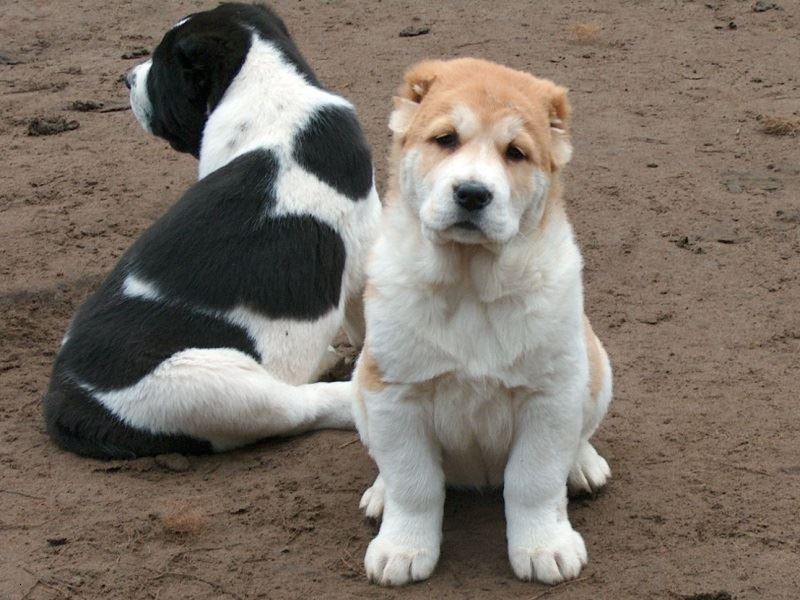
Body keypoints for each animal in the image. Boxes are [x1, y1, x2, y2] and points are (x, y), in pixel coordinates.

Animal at [43, 3, 381, 458]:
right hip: (208, 384)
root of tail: (68, 399)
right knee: (295, 407)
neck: (268, 91)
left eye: (162, 67)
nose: (127, 77)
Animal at [352, 58, 613, 586]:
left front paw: (544, 546)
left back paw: (582, 465)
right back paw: (380, 492)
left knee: (577, 437)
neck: (469, 284)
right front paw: (402, 547)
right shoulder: (392, 392)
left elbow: (534, 481)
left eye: (516, 153)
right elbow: (413, 481)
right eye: (446, 139)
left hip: (596, 367)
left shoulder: (550, 396)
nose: (472, 194)